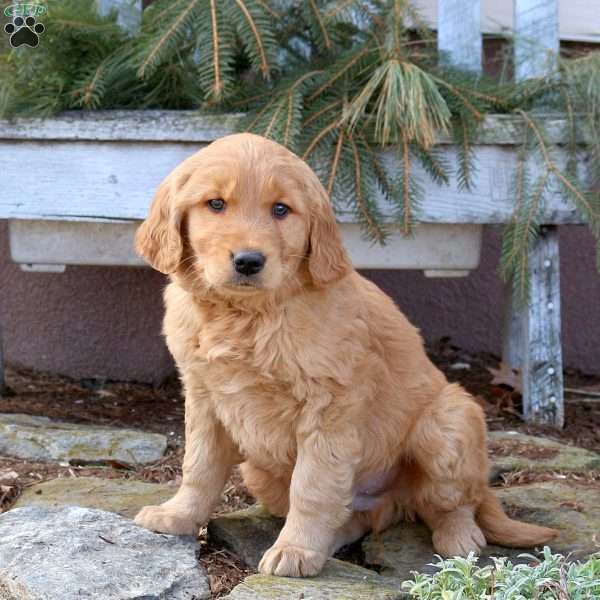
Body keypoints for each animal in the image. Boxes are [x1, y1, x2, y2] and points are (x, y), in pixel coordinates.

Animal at [134, 135, 556, 576]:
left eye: (281, 209)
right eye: (215, 204)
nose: (249, 261)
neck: (247, 315)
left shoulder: (329, 407)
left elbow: (313, 486)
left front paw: (296, 549)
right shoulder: (204, 397)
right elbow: (198, 467)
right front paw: (178, 515)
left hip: (449, 424)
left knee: (452, 502)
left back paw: (459, 538)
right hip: (260, 471)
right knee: (356, 516)